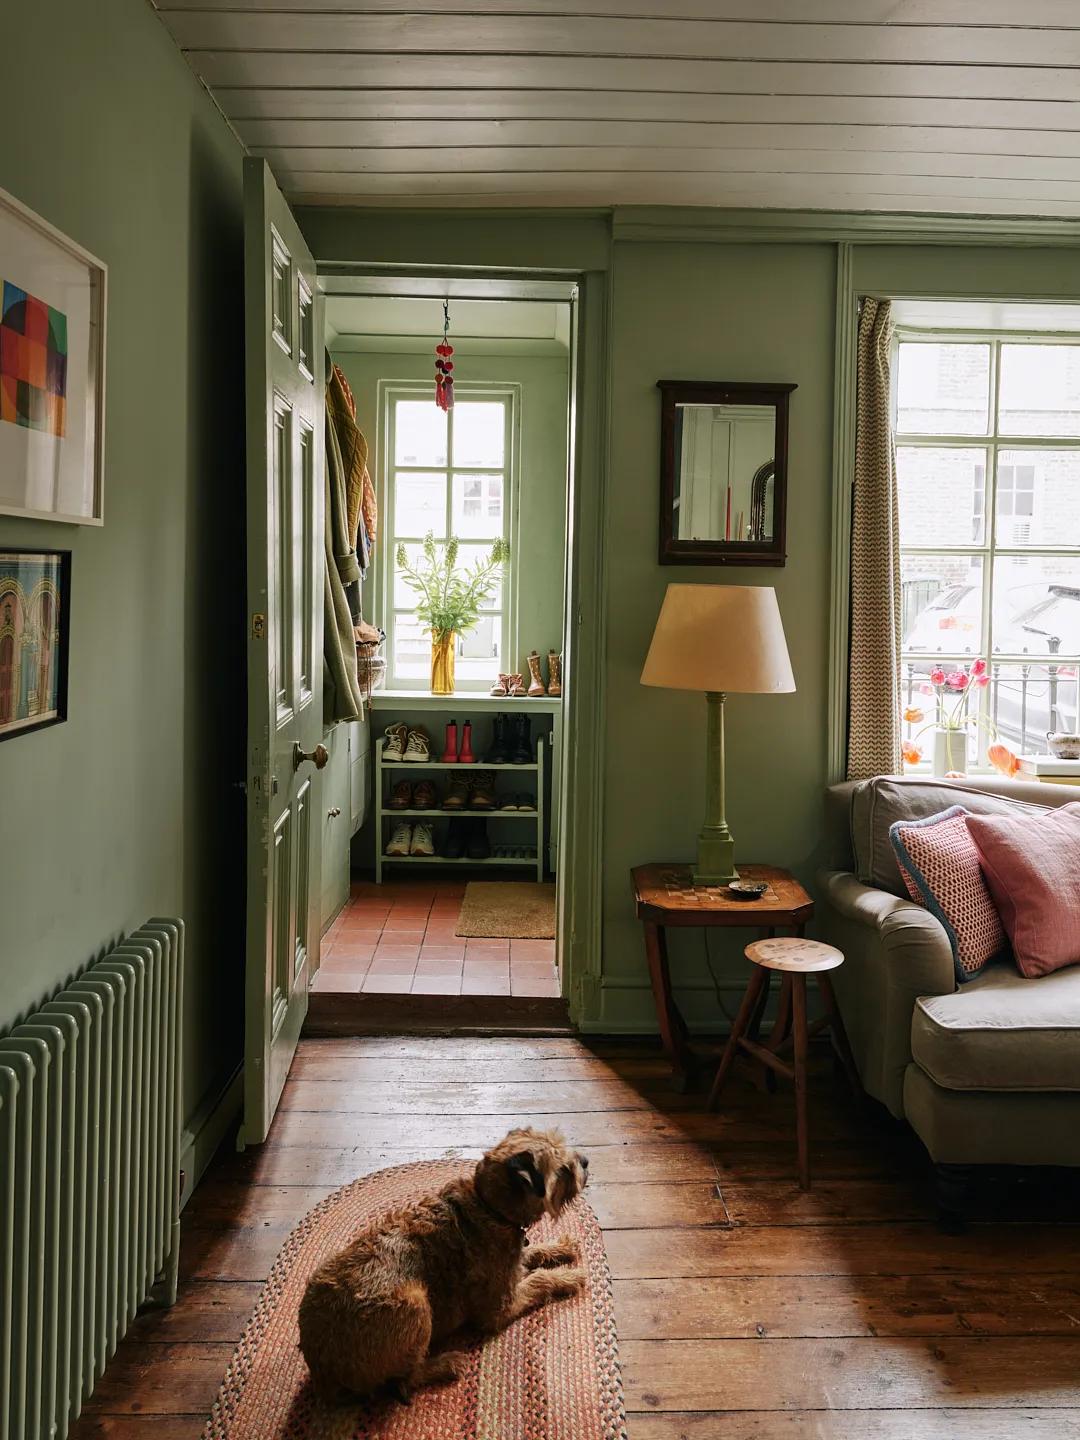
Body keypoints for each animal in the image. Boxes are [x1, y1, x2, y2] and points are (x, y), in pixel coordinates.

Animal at [298, 1128, 593, 1399]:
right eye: (563, 1169)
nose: (586, 1161)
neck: (489, 1206)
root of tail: (321, 1367)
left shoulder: (515, 1261)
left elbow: (534, 1253)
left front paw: (561, 1246)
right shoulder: (499, 1310)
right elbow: (539, 1279)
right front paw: (569, 1278)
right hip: (415, 1303)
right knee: (405, 1383)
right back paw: (445, 1364)